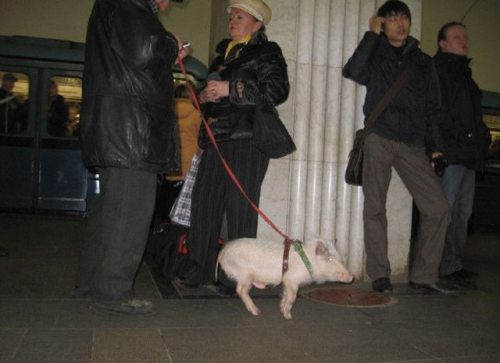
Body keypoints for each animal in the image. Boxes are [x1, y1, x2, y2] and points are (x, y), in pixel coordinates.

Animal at [217, 240, 354, 320]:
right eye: (329, 259)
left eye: (339, 258)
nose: (351, 276)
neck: (308, 261)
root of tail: (223, 251)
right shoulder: (291, 279)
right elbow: (292, 297)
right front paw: (288, 317)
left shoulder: (287, 282)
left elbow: (286, 294)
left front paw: (283, 310)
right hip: (245, 275)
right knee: (240, 290)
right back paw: (257, 312)